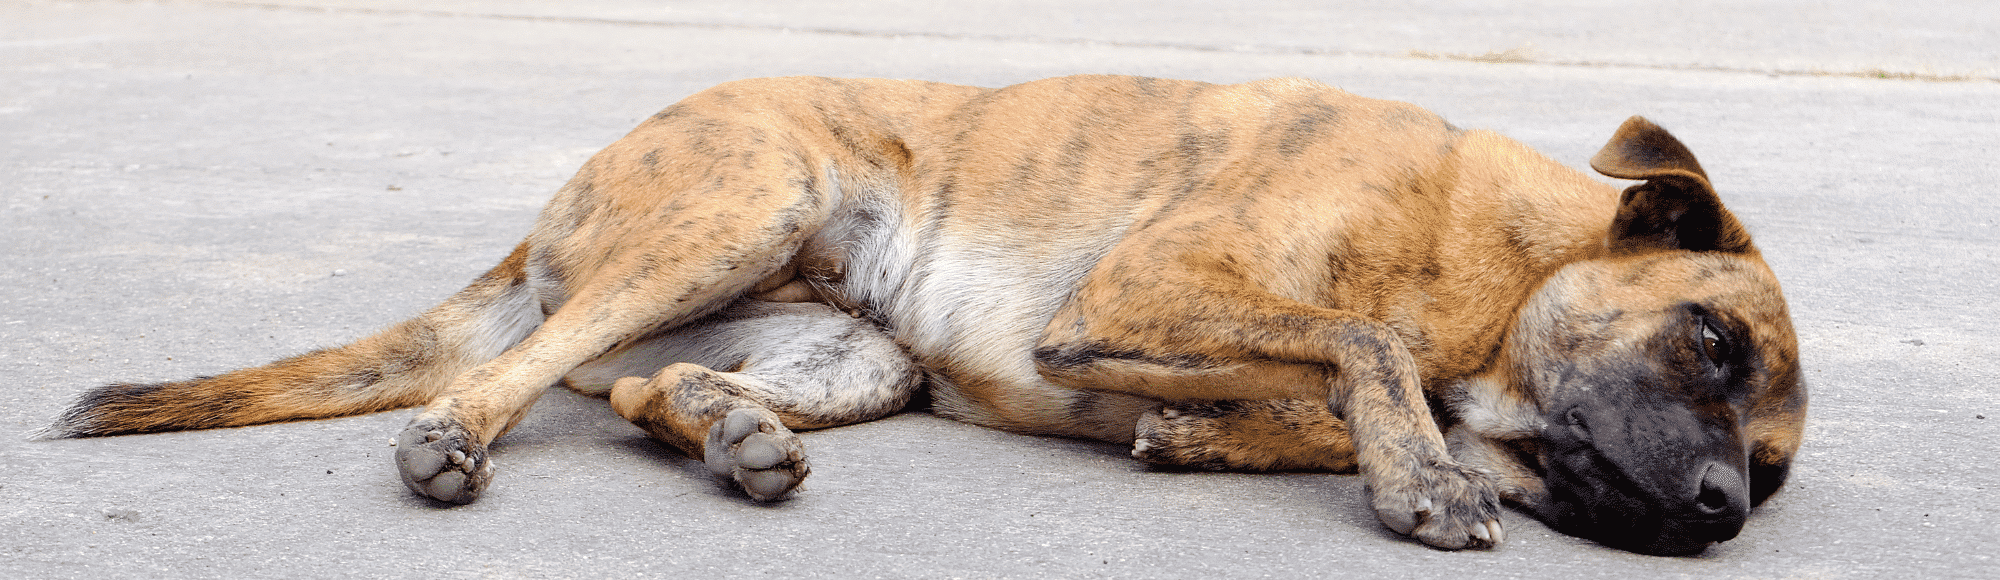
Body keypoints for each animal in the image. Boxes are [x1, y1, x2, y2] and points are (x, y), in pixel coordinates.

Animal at [47, 75, 1808, 556]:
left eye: (1775, 470)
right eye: (1712, 344)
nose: (1724, 510)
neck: (1497, 262)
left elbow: (1345, 396)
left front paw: (1240, 442)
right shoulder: (1137, 292)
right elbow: (1367, 350)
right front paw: (1421, 473)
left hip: (855, 346)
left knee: (638, 392)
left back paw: (732, 435)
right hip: (744, 199)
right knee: (536, 367)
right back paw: (455, 439)